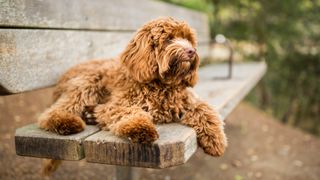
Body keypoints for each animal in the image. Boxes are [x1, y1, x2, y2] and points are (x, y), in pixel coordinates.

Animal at [38, 17, 228, 174]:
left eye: (188, 39)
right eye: (169, 39)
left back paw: (89, 114)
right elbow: (130, 112)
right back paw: (67, 121)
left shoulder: (188, 101)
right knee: (51, 112)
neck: (162, 84)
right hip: (88, 81)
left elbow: (205, 110)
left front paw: (216, 139)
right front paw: (141, 128)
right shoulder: (119, 103)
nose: (191, 51)